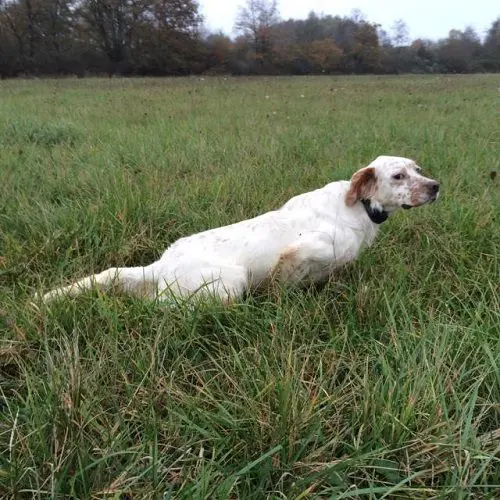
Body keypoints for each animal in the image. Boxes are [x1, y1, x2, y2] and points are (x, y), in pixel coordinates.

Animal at [37, 156, 439, 305]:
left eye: (418, 169)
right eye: (398, 176)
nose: (436, 186)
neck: (358, 207)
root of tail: (159, 266)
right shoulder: (311, 247)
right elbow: (291, 266)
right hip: (231, 282)